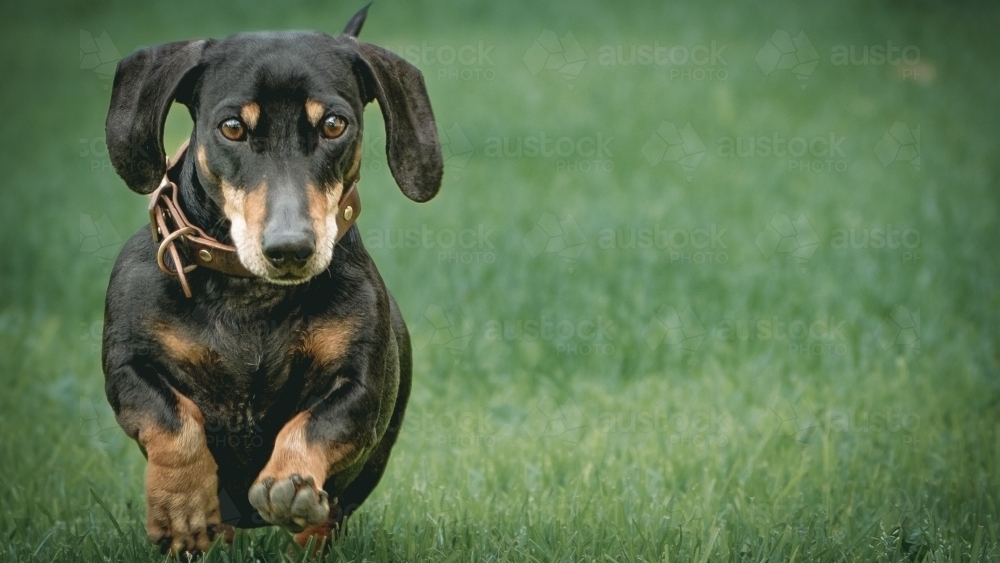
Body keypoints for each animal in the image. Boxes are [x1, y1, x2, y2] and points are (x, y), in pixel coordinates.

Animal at [101, 4, 442, 556]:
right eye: (232, 128)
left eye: (334, 124)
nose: (289, 249)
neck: (252, 298)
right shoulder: (127, 368)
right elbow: (173, 420)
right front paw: (182, 510)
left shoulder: (361, 389)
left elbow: (315, 425)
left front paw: (291, 483)